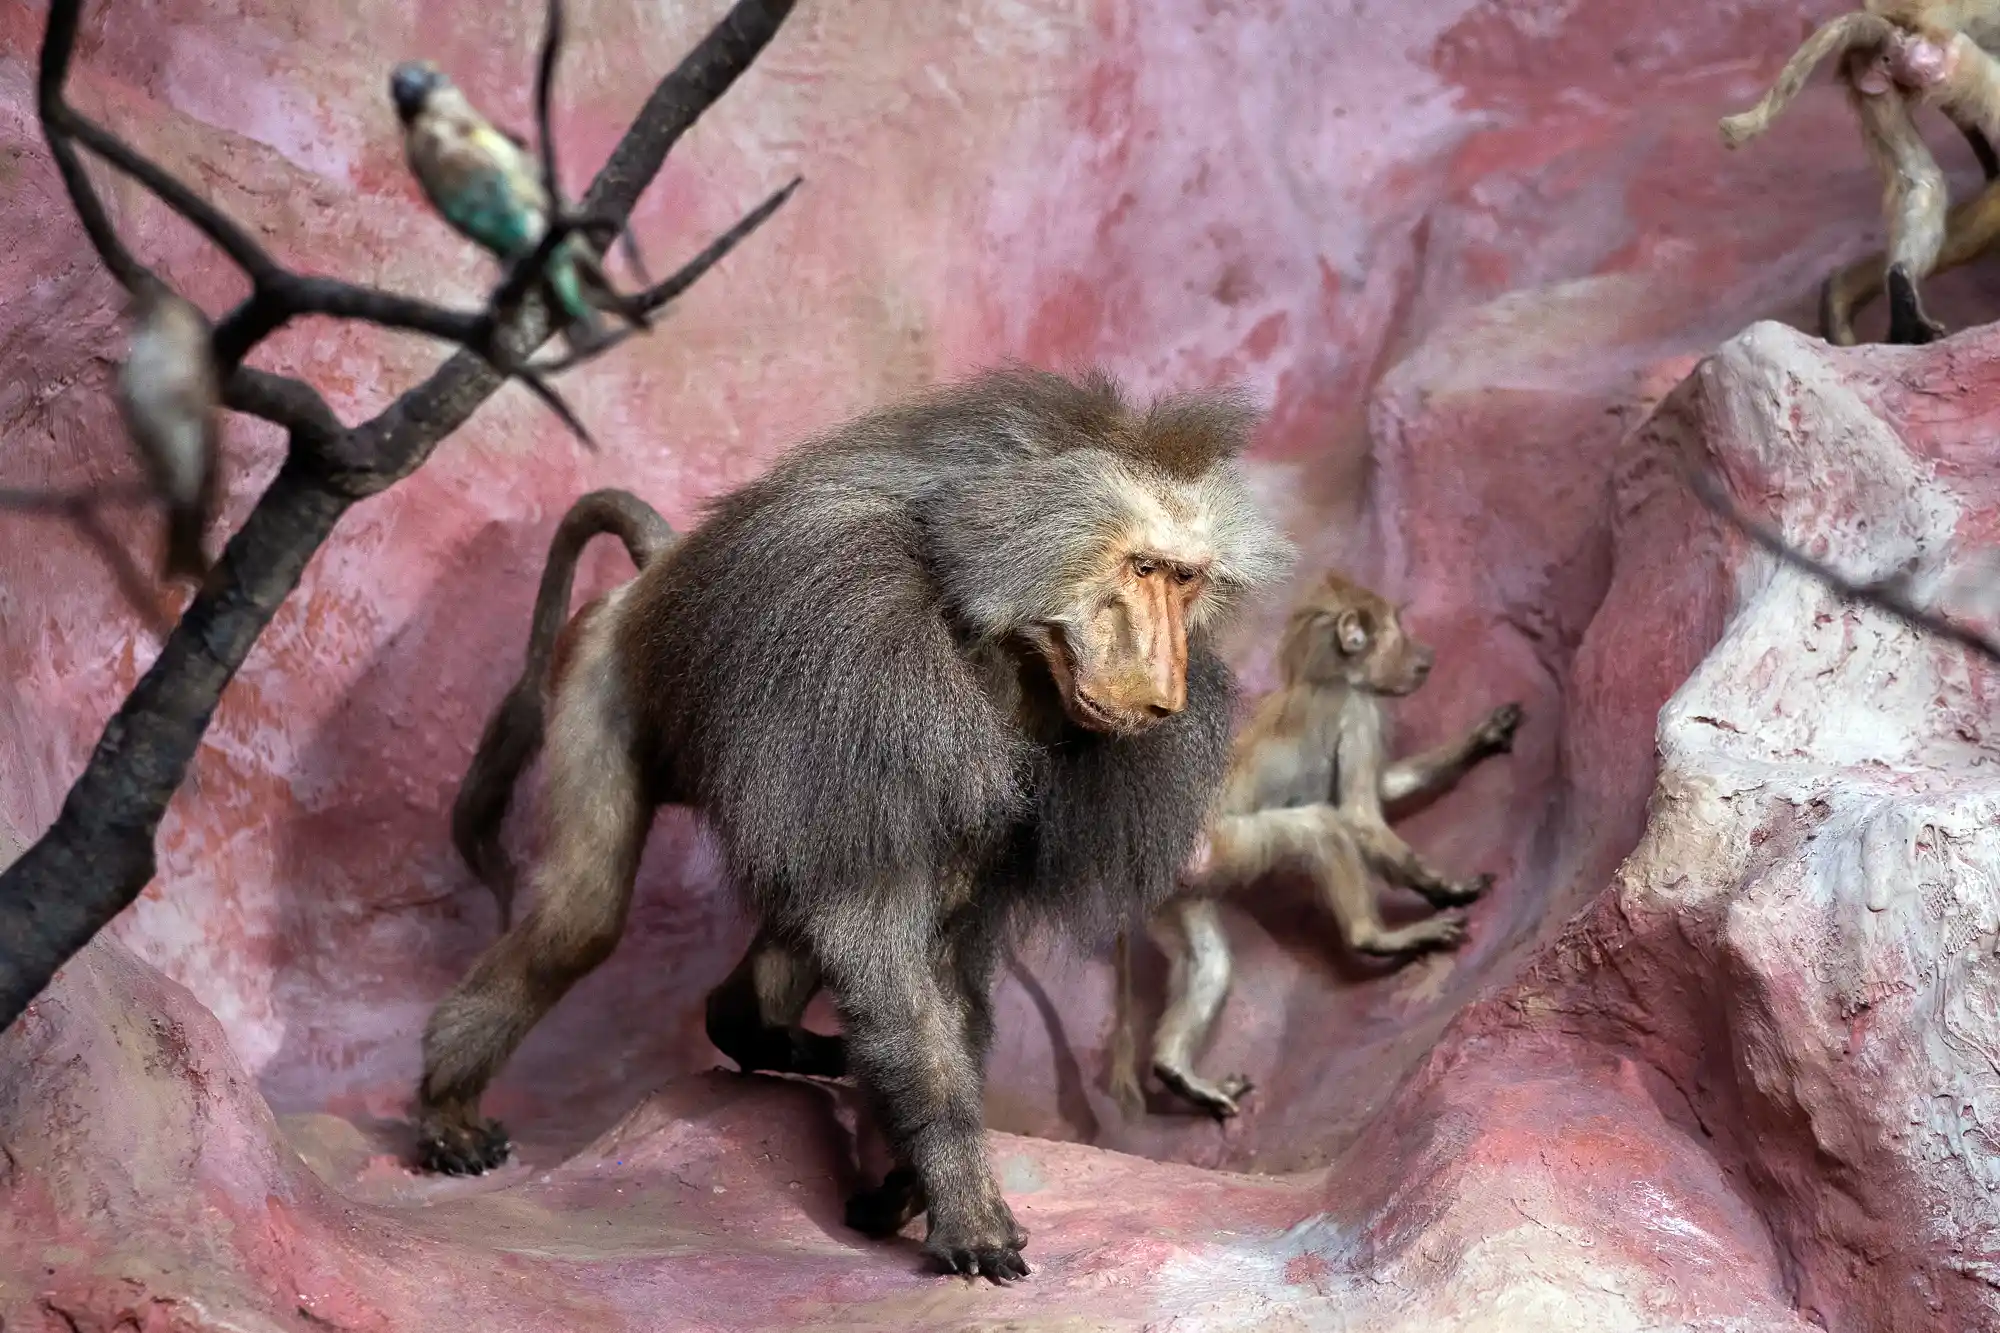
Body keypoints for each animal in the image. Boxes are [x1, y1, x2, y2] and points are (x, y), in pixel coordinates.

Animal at [417, 367, 1294, 1282]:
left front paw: (904, 1185)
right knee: (582, 916)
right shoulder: (865, 661)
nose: (1165, 691)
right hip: (599, 667)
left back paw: (759, 1030)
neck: (985, 622)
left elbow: (937, 946)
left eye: (1187, 580)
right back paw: (449, 1108)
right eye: (1142, 566)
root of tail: (659, 574)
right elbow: (878, 926)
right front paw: (962, 1203)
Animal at [1105, 571, 1522, 1120]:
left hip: (1175, 894)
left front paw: (1482, 736)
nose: (1426, 656)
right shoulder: (1358, 711)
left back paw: (1178, 1071)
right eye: (1398, 633)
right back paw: (1377, 937)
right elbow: (1359, 816)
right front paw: (1445, 888)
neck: (1326, 676)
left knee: (1209, 964)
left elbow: (1380, 792)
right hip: (1220, 847)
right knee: (1322, 828)